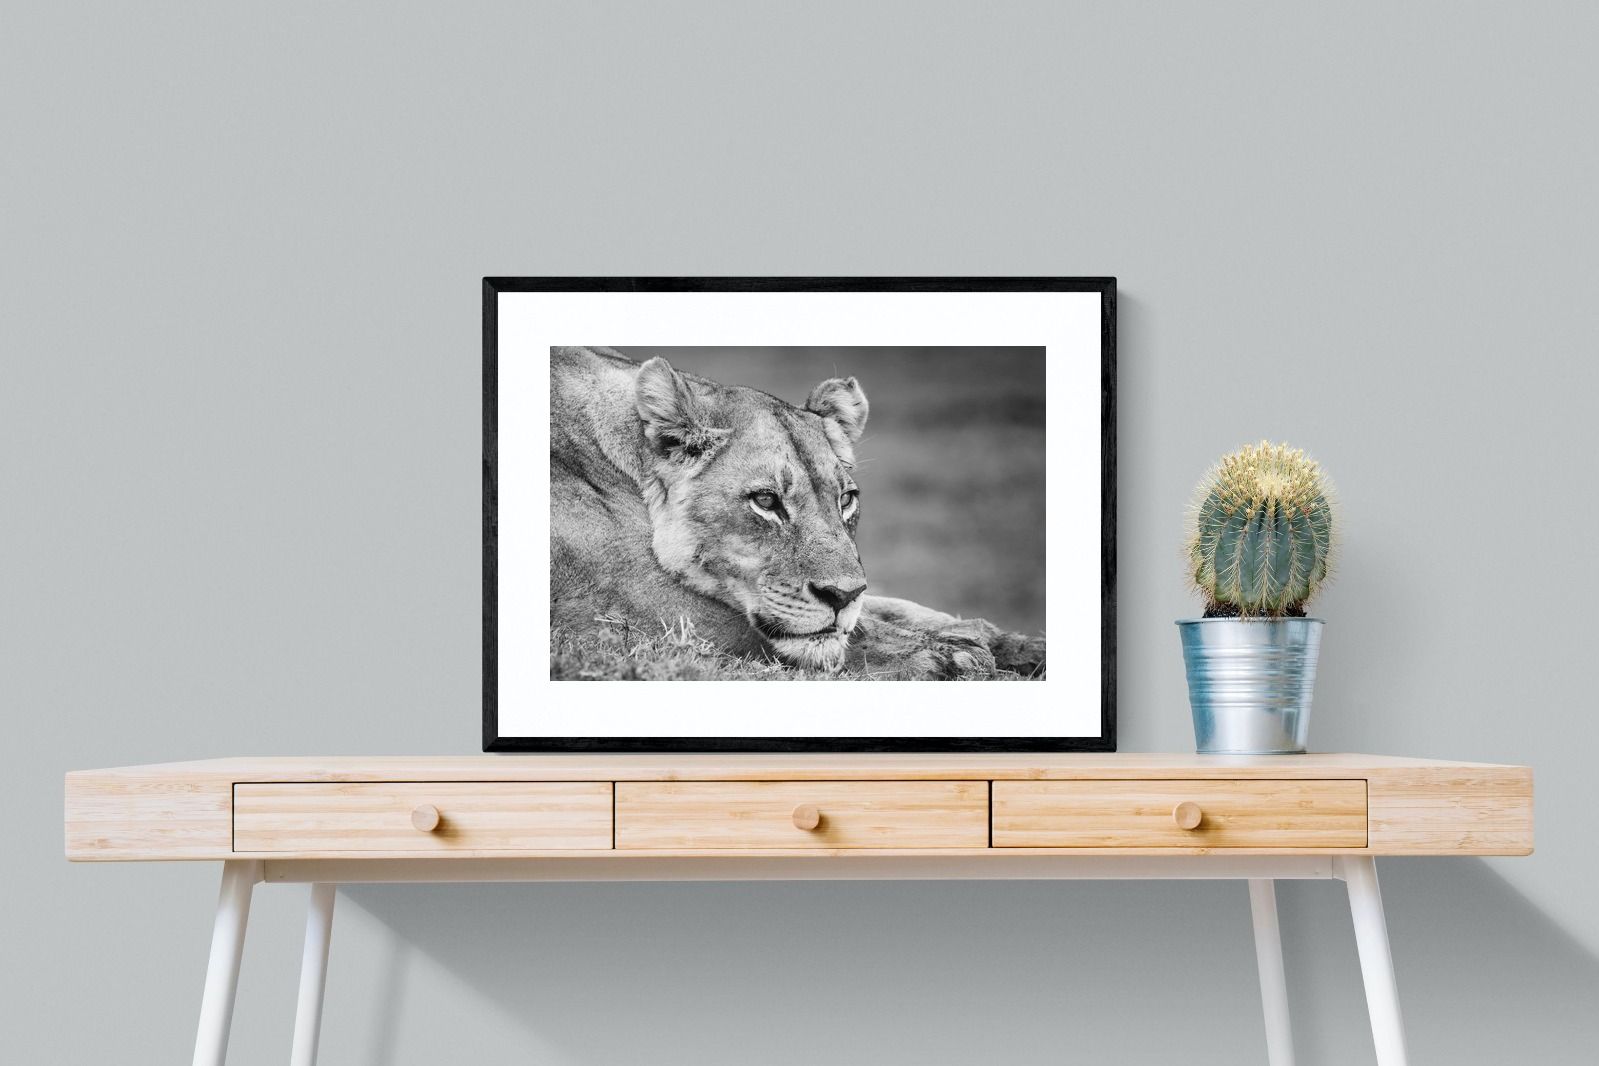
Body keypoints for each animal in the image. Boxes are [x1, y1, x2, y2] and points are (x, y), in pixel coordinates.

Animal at [550, 346, 1045, 679]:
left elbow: (893, 609)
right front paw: (954, 656)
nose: (841, 597)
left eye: (846, 499)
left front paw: (1014, 643)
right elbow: (840, 635)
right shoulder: (635, 610)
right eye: (766, 501)